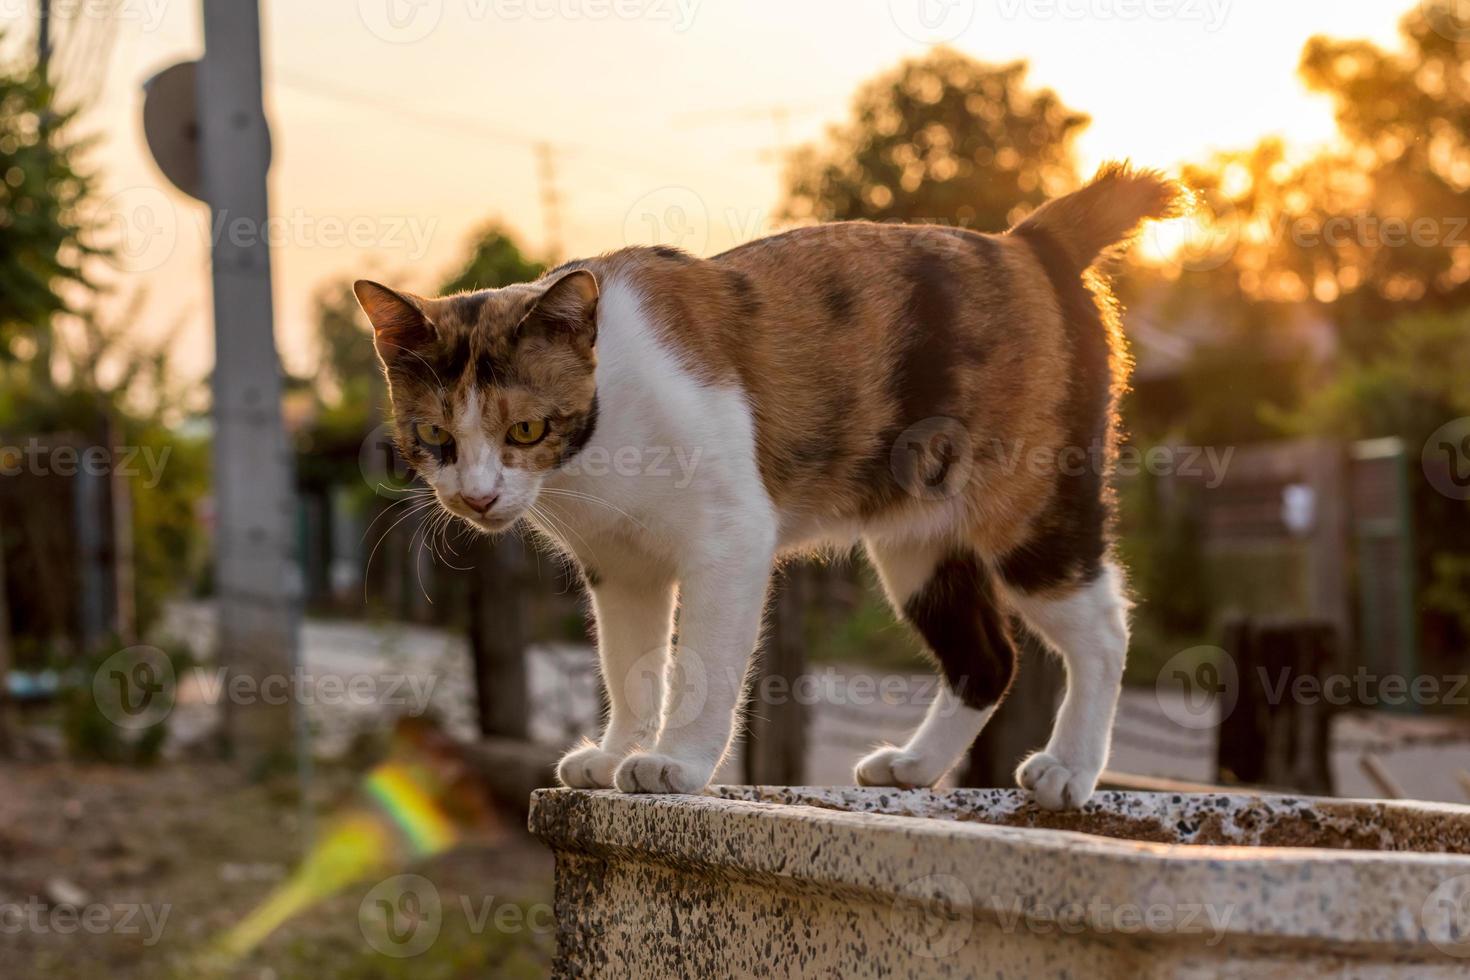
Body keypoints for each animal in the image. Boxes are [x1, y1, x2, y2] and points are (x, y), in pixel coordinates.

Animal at [355, 164, 1181, 811]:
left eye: (525, 430)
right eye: (436, 438)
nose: (477, 497)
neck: (597, 440)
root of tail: (1027, 241)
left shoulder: (729, 541)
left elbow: (701, 664)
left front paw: (675, 762)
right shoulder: (620, 567)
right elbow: (630, 667)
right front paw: (617, 751)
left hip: (1030, 509)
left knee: (1103, 626)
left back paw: (1070, 767)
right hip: (917, 542)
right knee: (987, 659)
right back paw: (914, 766)